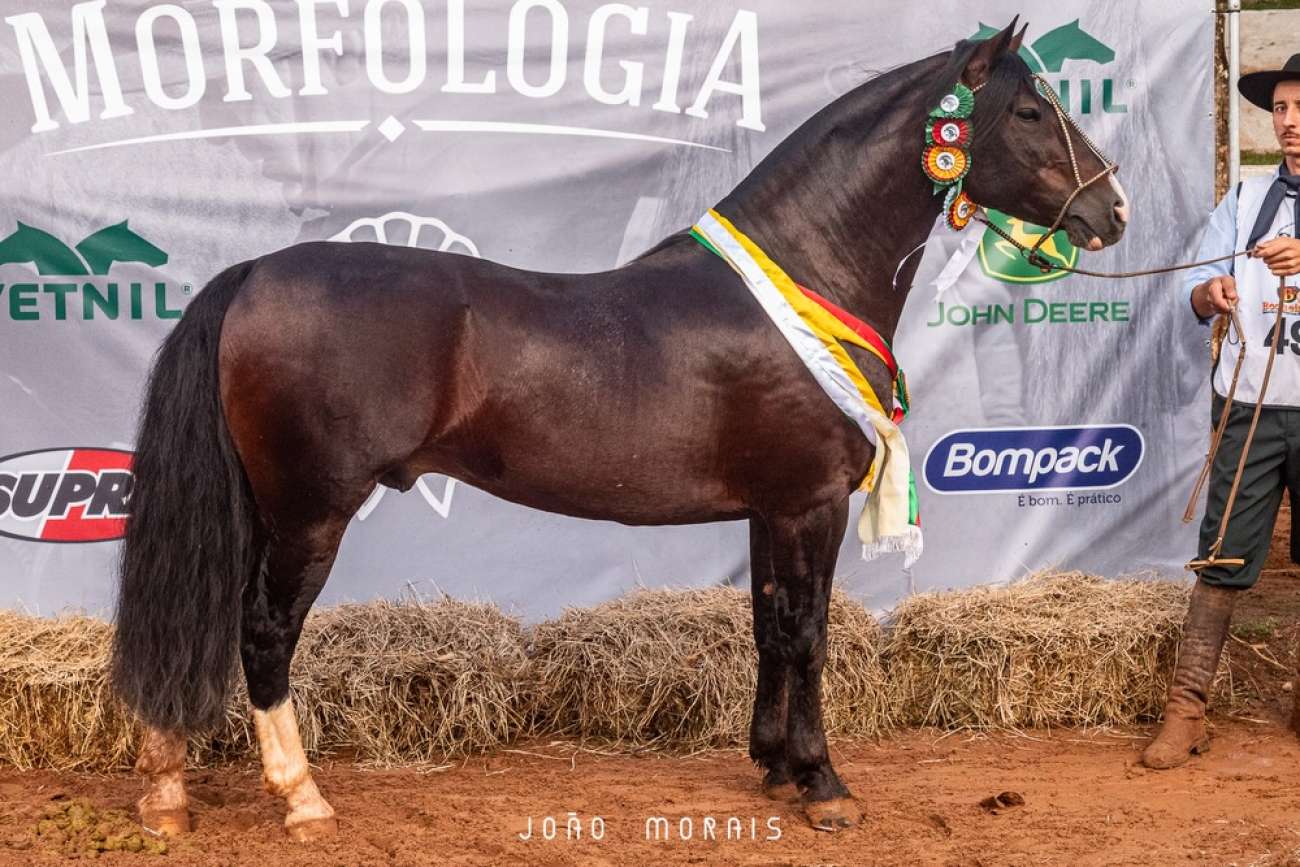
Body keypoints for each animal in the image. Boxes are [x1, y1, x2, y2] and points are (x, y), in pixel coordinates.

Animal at [110, 20, 1128, 840]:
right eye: (1029, 111)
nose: (1110, 210)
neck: (802, 273)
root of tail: (256, 272)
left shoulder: (769, 508)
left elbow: (768, 625)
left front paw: (771, 763)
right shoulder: (812, 502)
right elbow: (809, 633)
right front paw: (824, 783)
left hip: (262, 506)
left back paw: (165, 792)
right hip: (310, 509)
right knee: (262, 633)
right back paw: (303, 797)